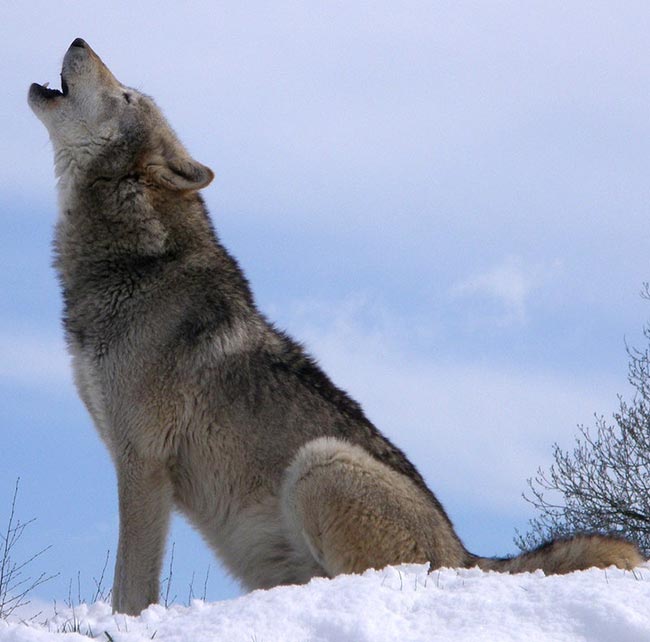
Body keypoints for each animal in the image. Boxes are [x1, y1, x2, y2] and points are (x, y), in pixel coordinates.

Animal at [29, 38, 644, 616]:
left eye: (127, 96)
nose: (79, 39)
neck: (138, 262)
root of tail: (467, 557)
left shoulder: (143, 463)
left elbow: (130, 588)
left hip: (318, 462)